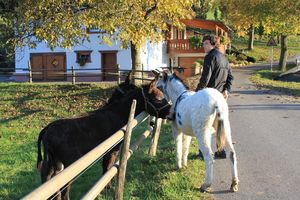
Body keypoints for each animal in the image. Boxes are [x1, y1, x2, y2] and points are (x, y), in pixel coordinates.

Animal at [36, 74, 170, 199]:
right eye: (158, 98)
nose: (171, 112)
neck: (118, 113)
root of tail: (47, 129)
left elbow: (106, 167)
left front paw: (106, 187)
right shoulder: (113, 149)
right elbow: (108, 168)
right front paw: (107, 188)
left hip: (54, 159)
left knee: (48, 178)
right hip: (69, 163)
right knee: (62, 184)